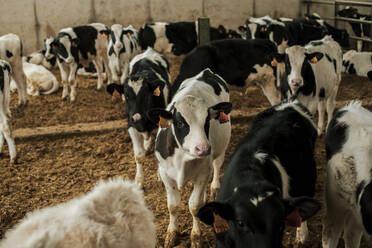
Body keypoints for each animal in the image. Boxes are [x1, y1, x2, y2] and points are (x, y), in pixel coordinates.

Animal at [106, 48, 170, 188]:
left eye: (145, 95)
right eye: (126, 95)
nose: (136, 117)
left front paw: (160, 175)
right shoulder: (131, 126)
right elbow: (139, 156)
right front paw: (139, 180)